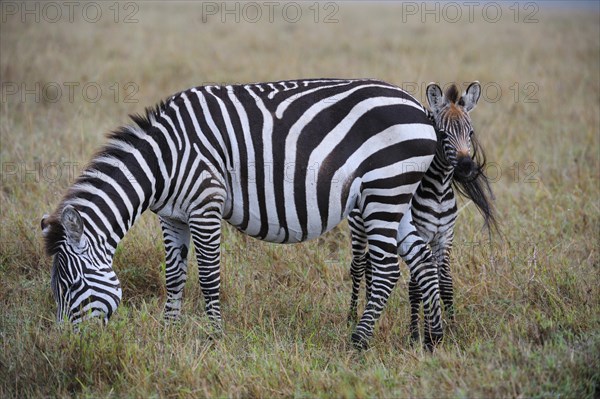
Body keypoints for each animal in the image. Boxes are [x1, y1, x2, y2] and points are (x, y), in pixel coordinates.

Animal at [39, 78, 438, 350]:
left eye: (72, 286)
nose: (65, 348)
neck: (163, 161)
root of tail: (420, 108)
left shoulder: (205, 205)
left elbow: (208, 277)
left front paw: (214, 337)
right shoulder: (172, 217)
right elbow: (174, 277)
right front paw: (168, 332)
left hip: (384, 190)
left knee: (386, 271)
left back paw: (358, 341)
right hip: (395, 195)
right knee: (422, 258)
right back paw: (432, 339)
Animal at [346, 81, 496, 346]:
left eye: (470, 134)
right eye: (443, 135)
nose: (467, 167)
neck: (439, 191)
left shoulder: (445, 236)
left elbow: (444, 281)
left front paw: (451, 326)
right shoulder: (421, 232)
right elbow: (417, 287)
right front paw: (417, 334)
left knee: (372, 265)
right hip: (359, 225)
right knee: (358, 265)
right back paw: (353, 316)